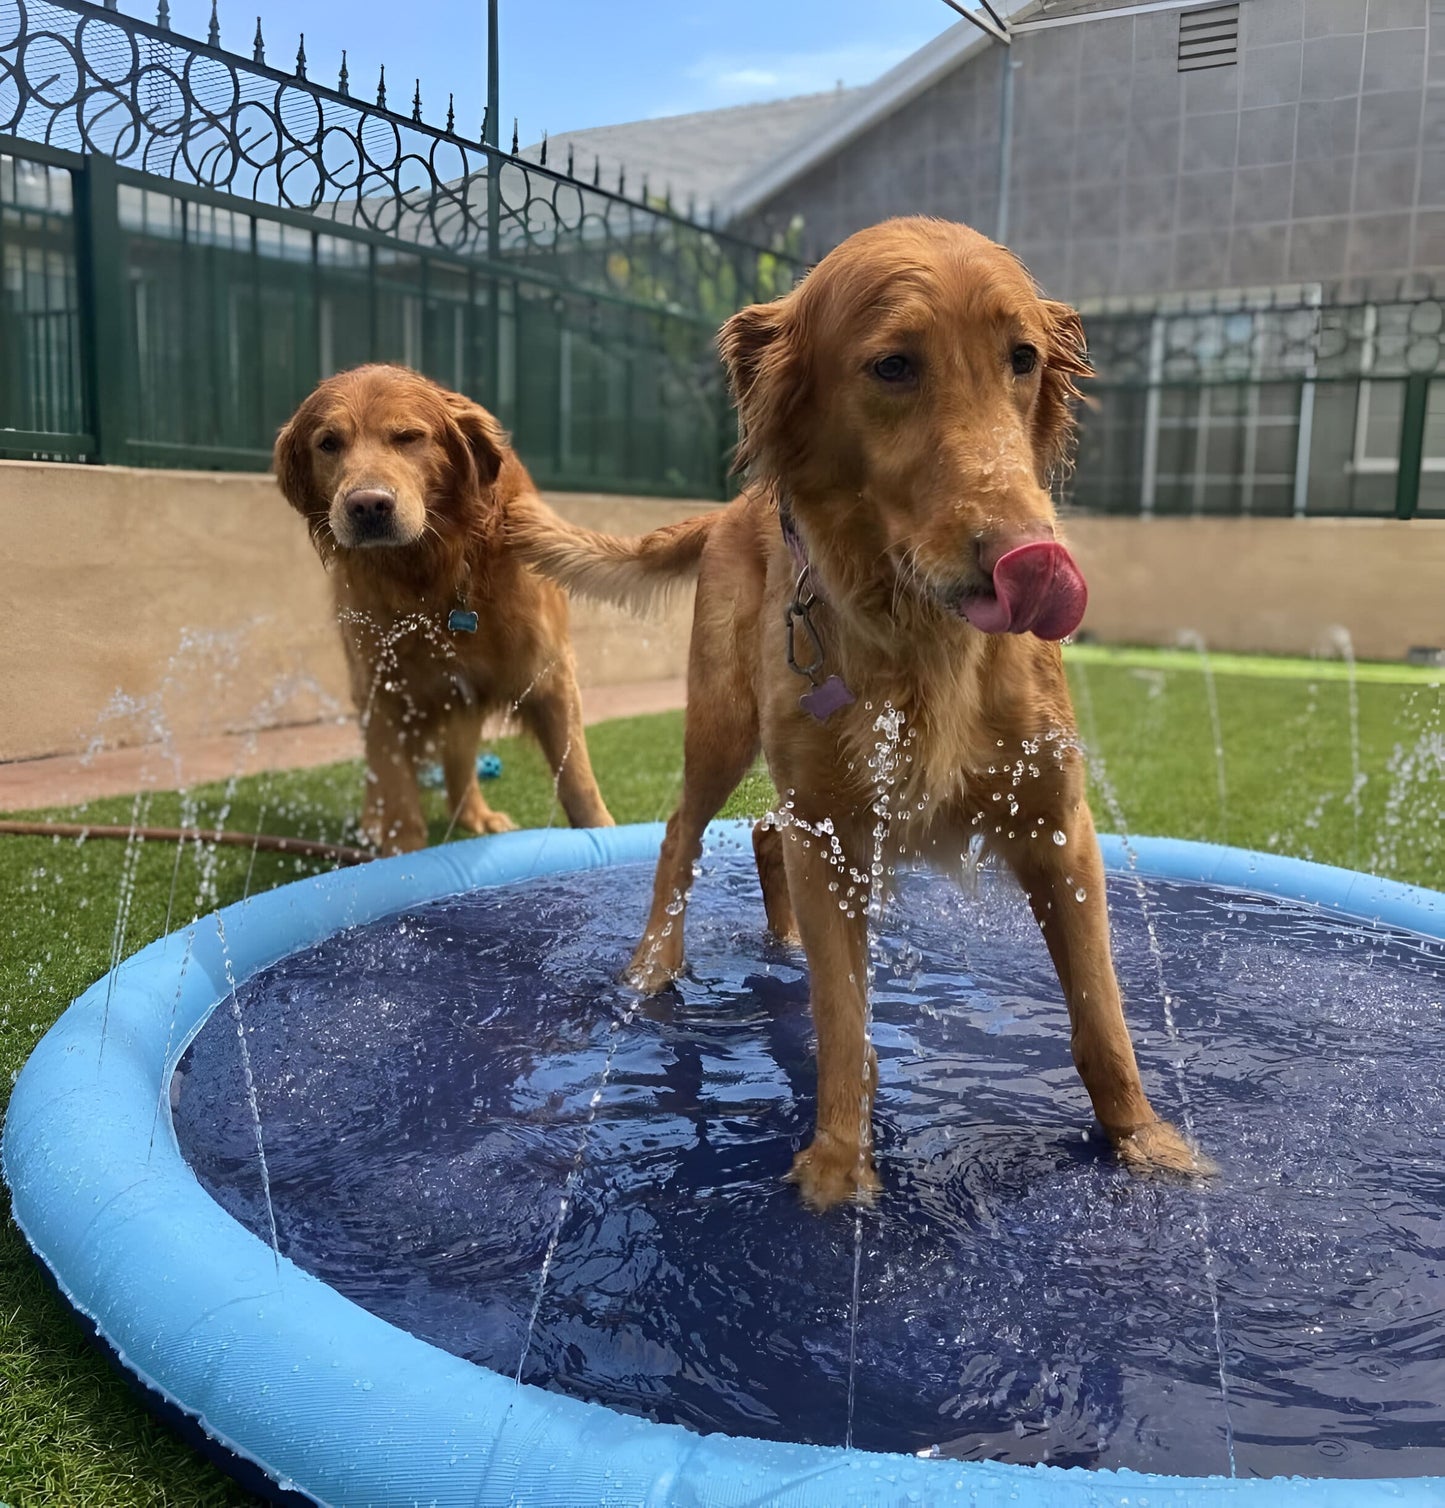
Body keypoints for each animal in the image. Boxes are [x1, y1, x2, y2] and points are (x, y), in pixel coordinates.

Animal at [274, 364, 612, 856]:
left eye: (409, 437)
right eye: (329, 443)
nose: (367, 505)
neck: (434, 573)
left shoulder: (549, 673)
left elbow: (578, 779)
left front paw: (608, 838)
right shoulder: (384, 691)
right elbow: (397, 790)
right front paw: (401, 857)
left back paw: (475, 815)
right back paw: (373, 822)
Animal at [509, 212, 1212, 1206]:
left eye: (1022, 357)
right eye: (892, 366)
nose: (1032, 556)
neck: (920, 632)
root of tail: (729, 509)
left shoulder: (1055, 821)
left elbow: (1101, 1015)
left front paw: (1145, 1142)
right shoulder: (834, 832)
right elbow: (841, 1018)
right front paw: (839, 1170)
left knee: (765, 833)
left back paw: (778, 941)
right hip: (723, 726)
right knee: (682, 831)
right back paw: (653, 965)